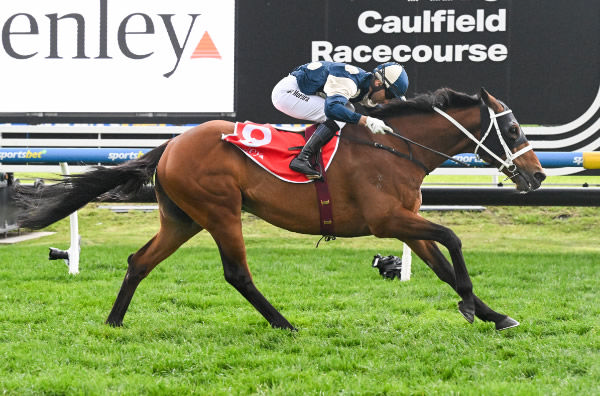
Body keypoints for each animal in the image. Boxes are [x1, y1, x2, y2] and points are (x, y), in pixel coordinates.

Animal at [15, 89, 548, 332]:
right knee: (237, 273)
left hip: (183, 219)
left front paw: (496, 315)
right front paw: (471, 306)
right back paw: (283, 323)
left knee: (139, 262)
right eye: (514, 129)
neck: (396, 148)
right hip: (220, 212)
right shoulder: (386, 221)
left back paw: (114, 322)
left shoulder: (408, 224)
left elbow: (442, 264)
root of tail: (170, 144)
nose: (539, 176)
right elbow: (453, 240)